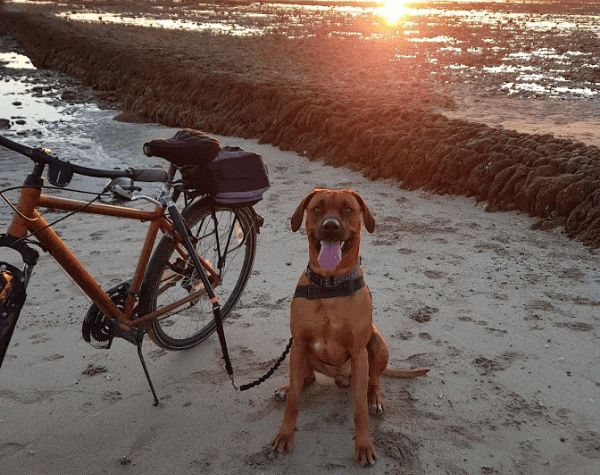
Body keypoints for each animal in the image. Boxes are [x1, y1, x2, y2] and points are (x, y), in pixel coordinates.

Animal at [272, 188, 426, 466]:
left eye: (348, 209)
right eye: (317, 209)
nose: (330, 226)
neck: (330, 285)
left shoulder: (358, 351)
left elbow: (360, 410)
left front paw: (364, 445)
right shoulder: (298, 344)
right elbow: (294, 404)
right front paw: (285, 434)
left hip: (376, 343)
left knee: (373, 380)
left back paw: (374, 399)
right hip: (300, 354)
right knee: (305, 378)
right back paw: (288, 388)